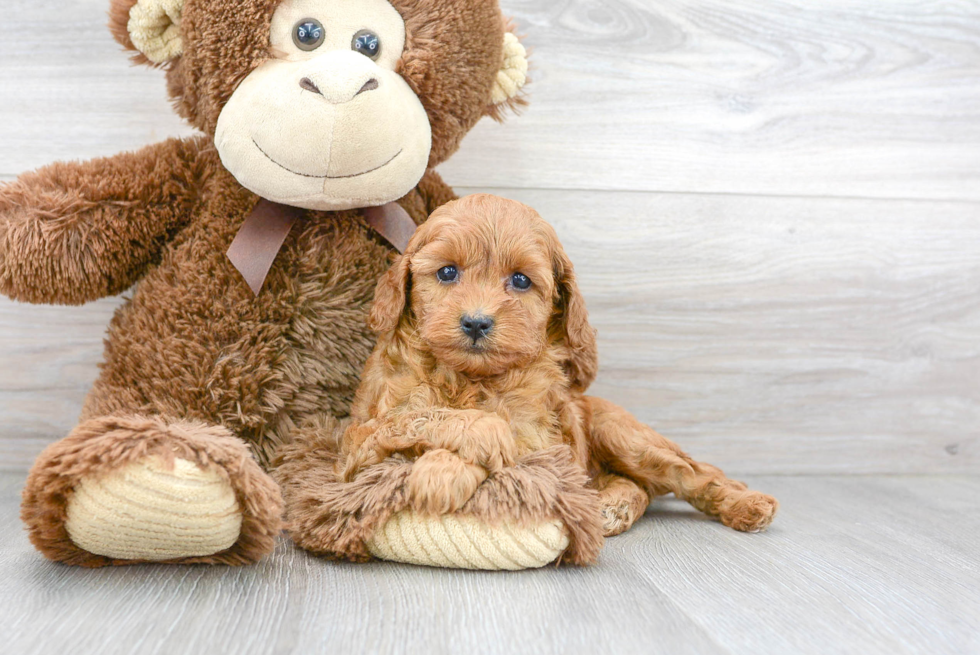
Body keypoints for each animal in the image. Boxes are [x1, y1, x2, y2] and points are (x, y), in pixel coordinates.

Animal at [340, 195, 776, 540]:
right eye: (447, 272)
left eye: (520, 280)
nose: (477, 322)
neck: (470, 379)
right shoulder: (356, 446)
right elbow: (418, 419)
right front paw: (457, 452)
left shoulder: (543, 449)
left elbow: (505, 444)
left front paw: (442, 472)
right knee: (637, 484)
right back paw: (611, 506)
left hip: (622, 434)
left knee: (694, 472)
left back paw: (749, 504)